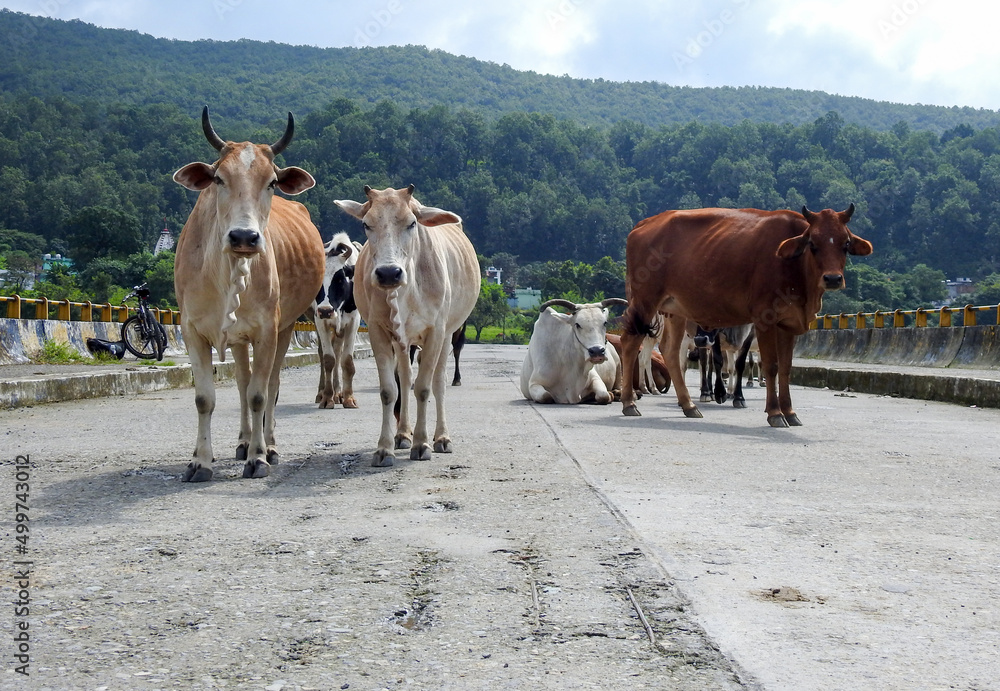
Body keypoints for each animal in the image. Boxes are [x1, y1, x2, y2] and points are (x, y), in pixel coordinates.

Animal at [172, 108, 324, 484]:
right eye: (218, 179)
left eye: (271, 182)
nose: (244, 236)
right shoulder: (193, 330)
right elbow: (205, 398)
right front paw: (200, 461)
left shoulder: (267, 330)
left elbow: (259, 395)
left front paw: (258, 457)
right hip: (239, 338)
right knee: (242, 383)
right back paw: (242, 441)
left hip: (285, 327)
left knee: (270, 385)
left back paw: (268, 444)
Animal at [620, 204, 872, 428]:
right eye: (813, 243)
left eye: (845, 243)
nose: (833, 278)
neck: (794, 267)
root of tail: (644, 224)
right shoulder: (764, 319)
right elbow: (770, 365)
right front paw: (775, 413)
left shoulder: (788, 323)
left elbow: (786, 368)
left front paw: (790, 412)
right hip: (644, 301)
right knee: (630, 343)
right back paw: (629, 402)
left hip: (675, 311)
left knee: (670, 352)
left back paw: (688, 406)